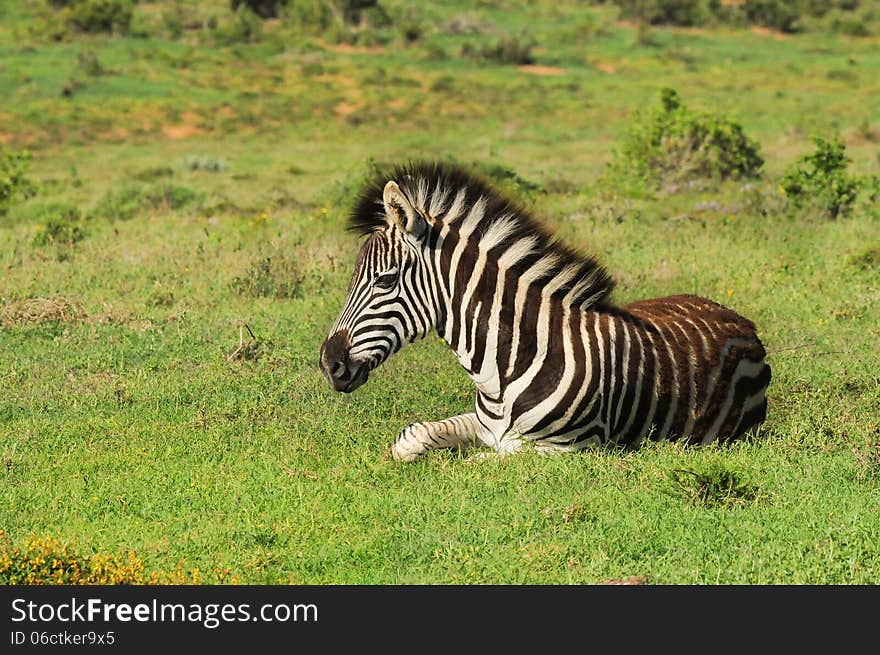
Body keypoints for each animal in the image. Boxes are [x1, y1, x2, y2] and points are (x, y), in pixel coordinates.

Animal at [322, 162, 768, 462]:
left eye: (384, 281)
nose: (329, 364)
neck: (501, 370)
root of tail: (733, 314)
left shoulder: (565, 450)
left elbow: (476, 463)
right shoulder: (486, 427)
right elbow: (410, 438)